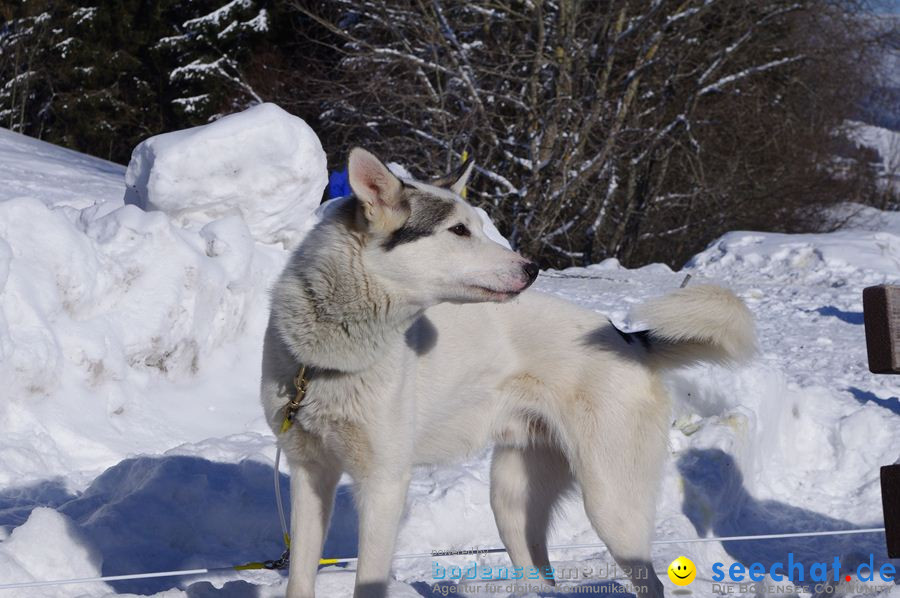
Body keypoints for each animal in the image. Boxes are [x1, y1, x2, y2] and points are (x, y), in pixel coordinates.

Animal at [262, 146, 760, 598]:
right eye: (459, 230)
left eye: (479, 226)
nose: (533, 268)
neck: (327, 361)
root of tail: (627, 339)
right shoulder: (310, 476)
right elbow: (300, 578)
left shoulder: (383, 484)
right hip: (512, 504)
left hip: (611, 505)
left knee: (649, 583)